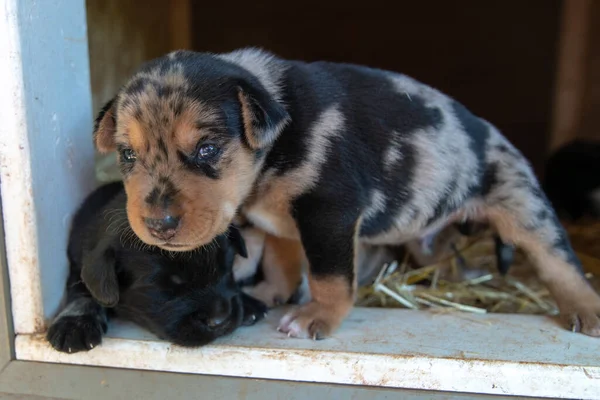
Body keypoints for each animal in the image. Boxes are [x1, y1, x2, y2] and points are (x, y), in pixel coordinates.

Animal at [49, 181, 268, 354]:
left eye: (227, 266)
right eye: (162, 287)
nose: (220, 320)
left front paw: (248, 302)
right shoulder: (79, 264)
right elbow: (84, 292)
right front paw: (74, 324)